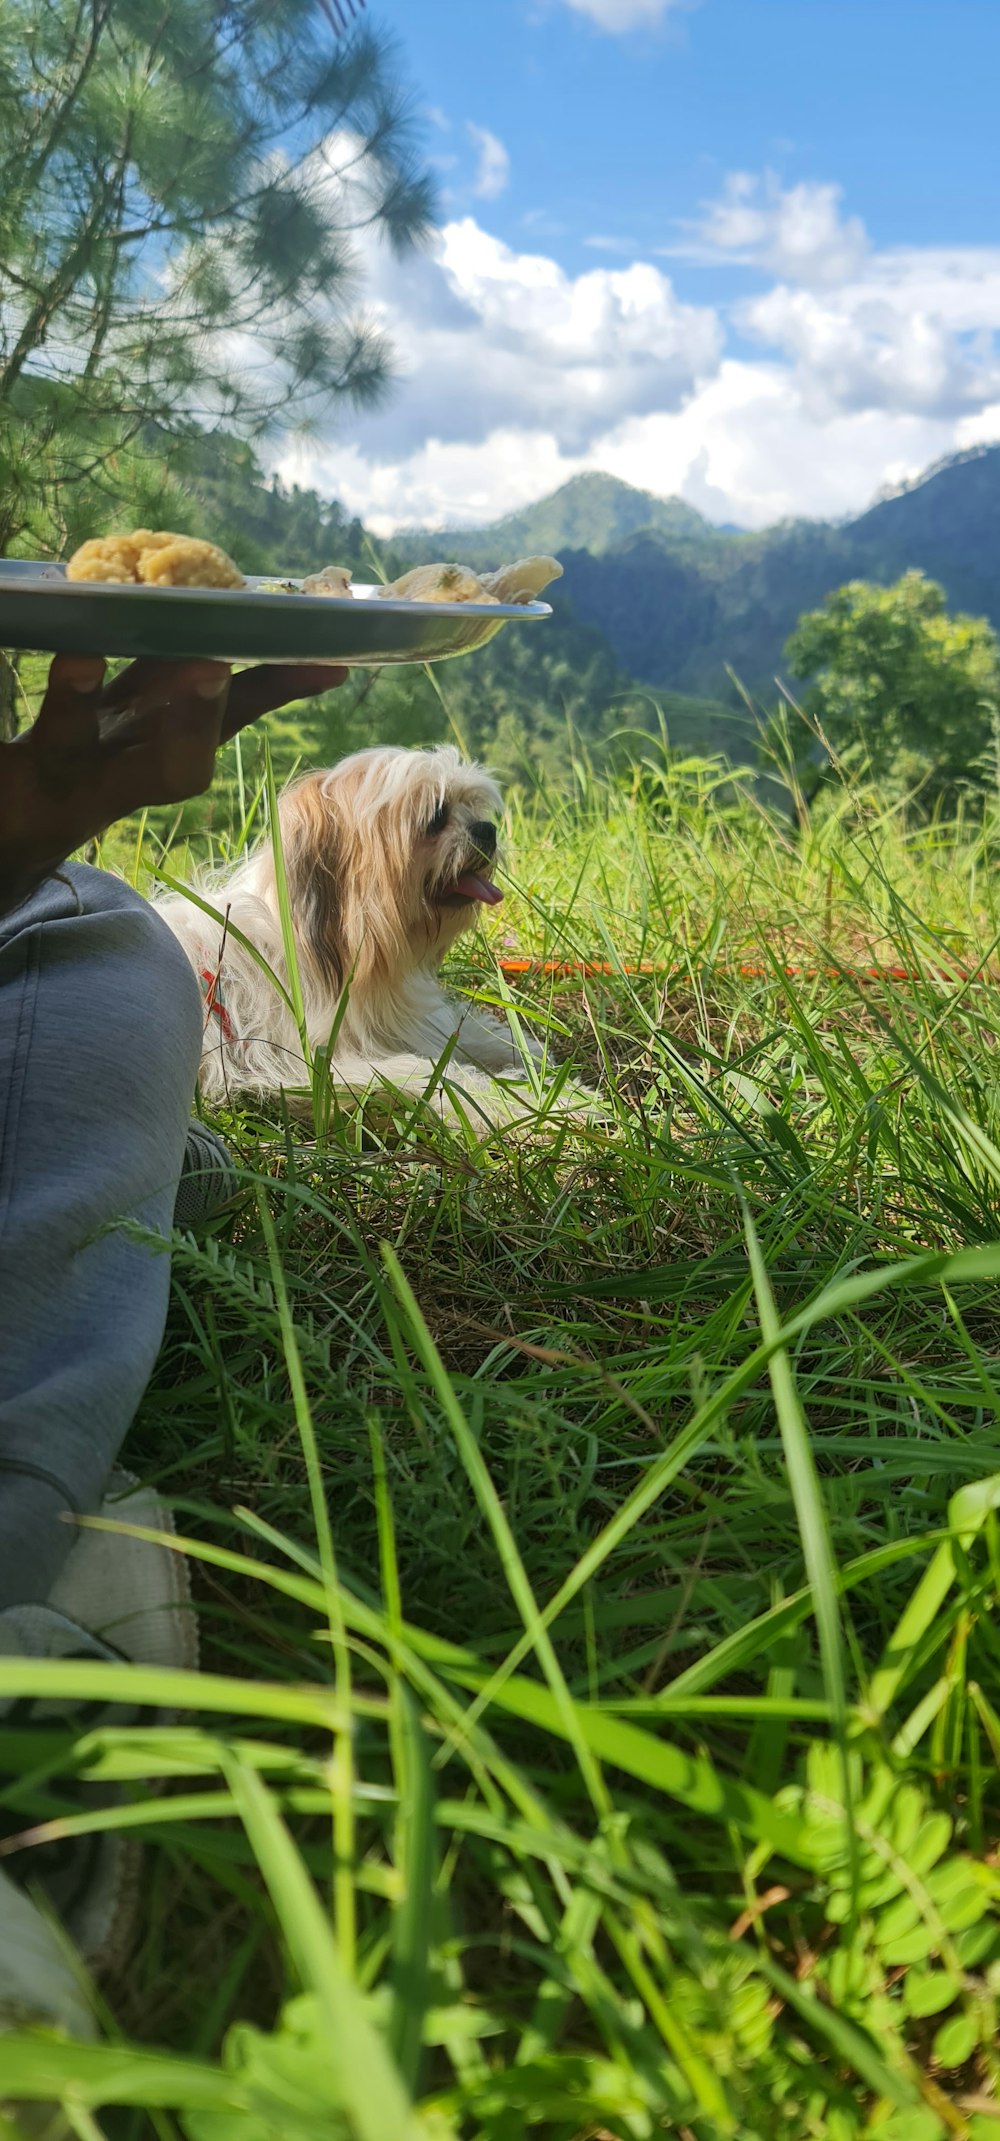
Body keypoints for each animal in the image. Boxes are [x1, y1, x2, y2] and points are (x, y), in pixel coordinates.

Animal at [156, 749, 548, 1130]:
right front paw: (535, 1105)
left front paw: (520, 1049)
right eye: (436, 817)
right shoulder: (319, 1063)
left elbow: (455, 1031)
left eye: (474, 807)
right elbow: (436, 1076)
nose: (487, 829)